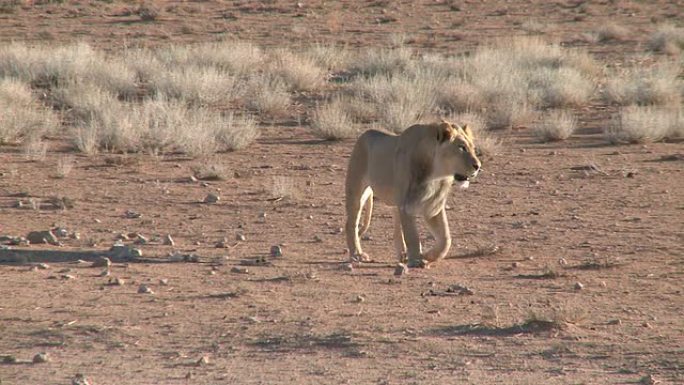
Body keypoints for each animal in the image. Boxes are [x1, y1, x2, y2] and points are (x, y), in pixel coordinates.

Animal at [342, 120, 480, 268]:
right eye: (462, 147)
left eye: (473, 148)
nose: (478, 166)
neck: (435, 175)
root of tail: (365, 133)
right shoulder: (406, 205)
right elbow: (412, 236)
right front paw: (416, 260)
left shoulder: (433, 206)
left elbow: (446, 240)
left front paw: (427, 256)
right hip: (357, 190)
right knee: (351, 224)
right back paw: (357, 255)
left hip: (394, 201)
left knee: (396, 231)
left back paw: (402, 255)